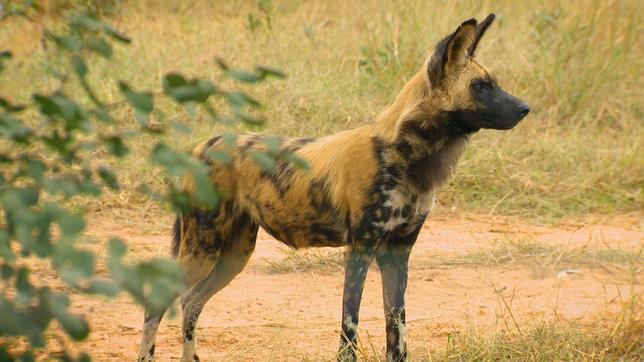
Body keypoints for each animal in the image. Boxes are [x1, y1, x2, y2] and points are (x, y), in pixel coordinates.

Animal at [138, 13, 524, 362]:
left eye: (493, 83)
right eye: (480, 86)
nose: (525, 107)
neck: (406, 155)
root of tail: (201, 145)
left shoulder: (398, 253)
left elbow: (396, 331)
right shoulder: (360, 249)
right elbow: (349, 327)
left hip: (233, 255)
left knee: (191, 302)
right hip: (202, 250)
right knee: (158, 304)